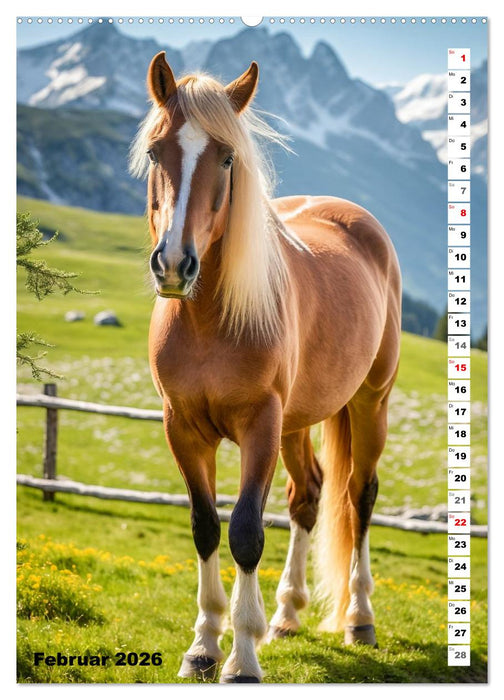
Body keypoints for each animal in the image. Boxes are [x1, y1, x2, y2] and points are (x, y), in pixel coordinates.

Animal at [129, 52, 401, 683]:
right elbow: (205, 526)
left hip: (368, 404)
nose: (174, 264)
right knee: (309, 496)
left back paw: (359, 620)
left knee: (358, 496)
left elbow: (246, 532)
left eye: (227, 157)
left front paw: (242, 659)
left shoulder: (260, 426)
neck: (208, 320)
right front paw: (204, 645)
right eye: (155, 152)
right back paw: (286, 615)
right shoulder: (182, 428)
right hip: (299, 422)